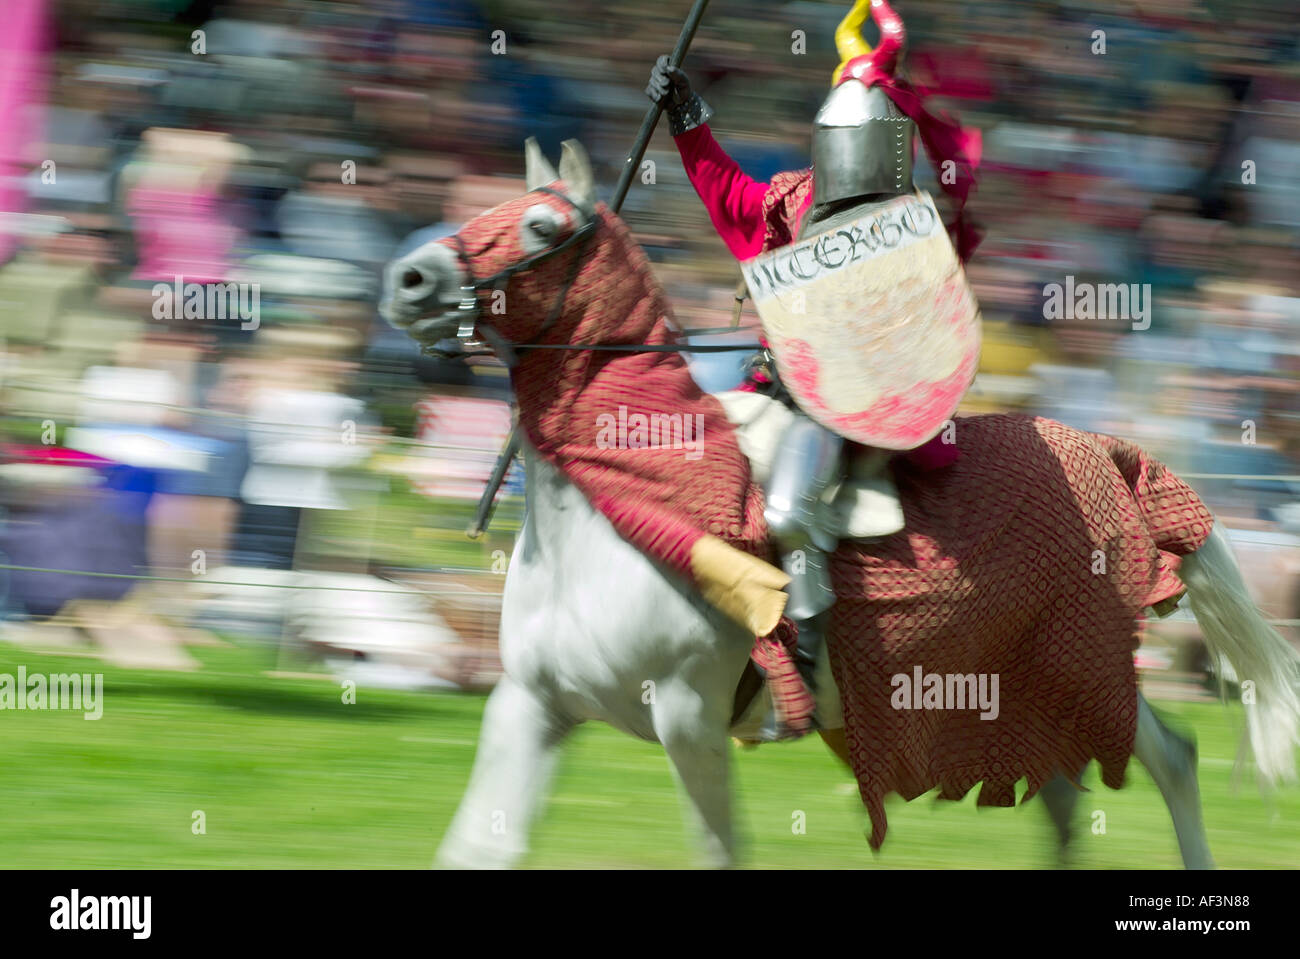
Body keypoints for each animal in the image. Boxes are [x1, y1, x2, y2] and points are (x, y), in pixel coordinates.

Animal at [382, 140, 1300, 868]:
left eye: (541, 227)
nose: (409, 276)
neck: (611, 512)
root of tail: (1111, 452)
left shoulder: (688, 720)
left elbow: (718, 850)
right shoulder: (532, 705)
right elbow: (477, 848)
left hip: (1081, 666)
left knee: (1173, 757)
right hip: (1020, 686)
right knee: (1067, 798)